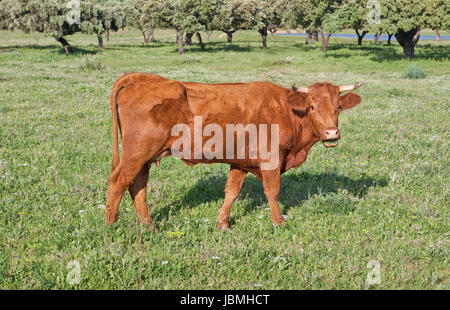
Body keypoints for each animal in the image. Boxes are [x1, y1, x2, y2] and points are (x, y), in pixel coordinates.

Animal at [105, 73, 362, 230]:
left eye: (338, 107)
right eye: (312, 106)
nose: (331, 133)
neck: (286, 110)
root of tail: (141, 77)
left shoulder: (240, 162)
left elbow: (231, 192)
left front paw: (222, 223)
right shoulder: (271, 160)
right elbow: (273, 192)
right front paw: (279, 222)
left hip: (145, 158)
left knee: (137, 187)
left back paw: (150, 226)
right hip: (137, 153)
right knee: (119, 181)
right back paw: (110, 224)